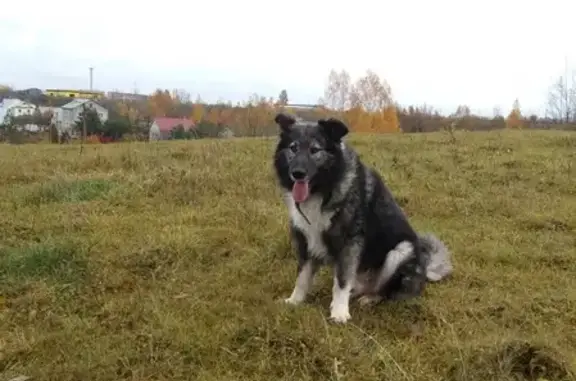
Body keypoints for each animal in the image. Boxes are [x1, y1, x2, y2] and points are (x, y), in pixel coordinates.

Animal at [272, 111, 452, 322]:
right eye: (293, 148)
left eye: (314, 150)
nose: (297, 173)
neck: (323, 189)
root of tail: (425, 272)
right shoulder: (306, 240)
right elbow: (302, 277)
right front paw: (294, 301)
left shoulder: (350, 243)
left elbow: (341, 282)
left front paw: (339, 313)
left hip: (400, 251)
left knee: (386, 290)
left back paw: (370, 298)